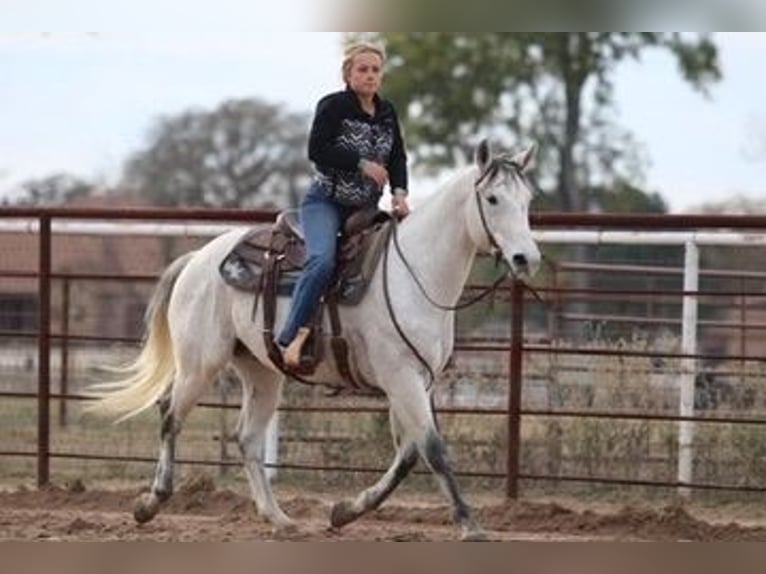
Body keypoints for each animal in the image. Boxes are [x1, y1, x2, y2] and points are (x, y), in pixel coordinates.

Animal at [89, 140, 541, 541]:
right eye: (493, 199)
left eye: (528, 200)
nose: (527, 259)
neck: (415, 271)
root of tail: (199, 258)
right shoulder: (400, 378)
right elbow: (432, 450)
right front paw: (469, 524)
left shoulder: (418, 381)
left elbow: (408, 453)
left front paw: (345, 512)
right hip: (200, 363)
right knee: (170, 414)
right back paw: (151, 502)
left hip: (262, 371)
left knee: (247, 438)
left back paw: (279, 519)